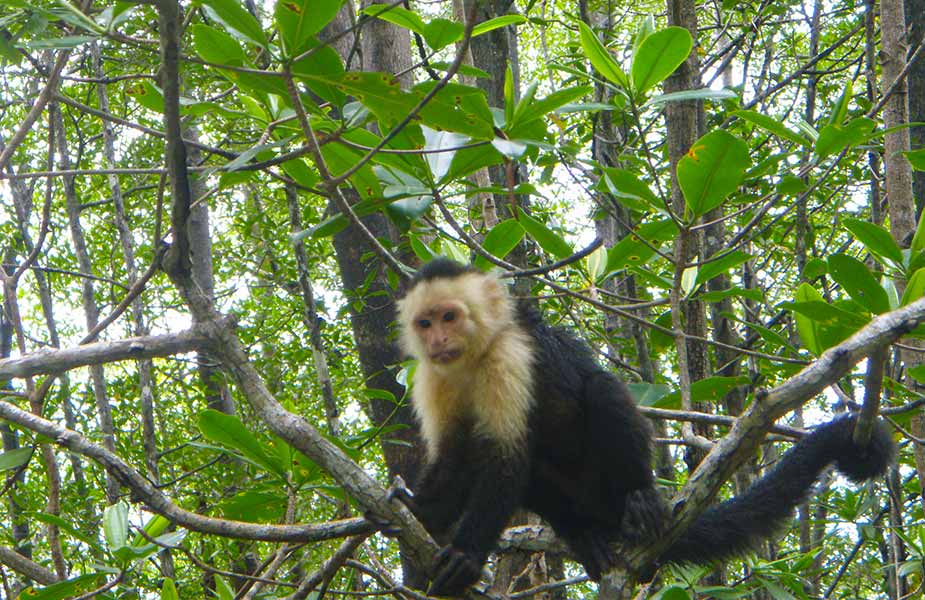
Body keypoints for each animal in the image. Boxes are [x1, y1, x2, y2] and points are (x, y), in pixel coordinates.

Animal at [392, 258, 896, 596]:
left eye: (450, 316)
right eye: (426, 322)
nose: (438, 339)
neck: (472, 358)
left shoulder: (510, 356)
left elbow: (506, 460)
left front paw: (465, 554)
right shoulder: (433, 376)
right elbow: (456, 455)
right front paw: (423, 512)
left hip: (606, 485)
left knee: (601, 392)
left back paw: (640, 500)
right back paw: (583, 534)